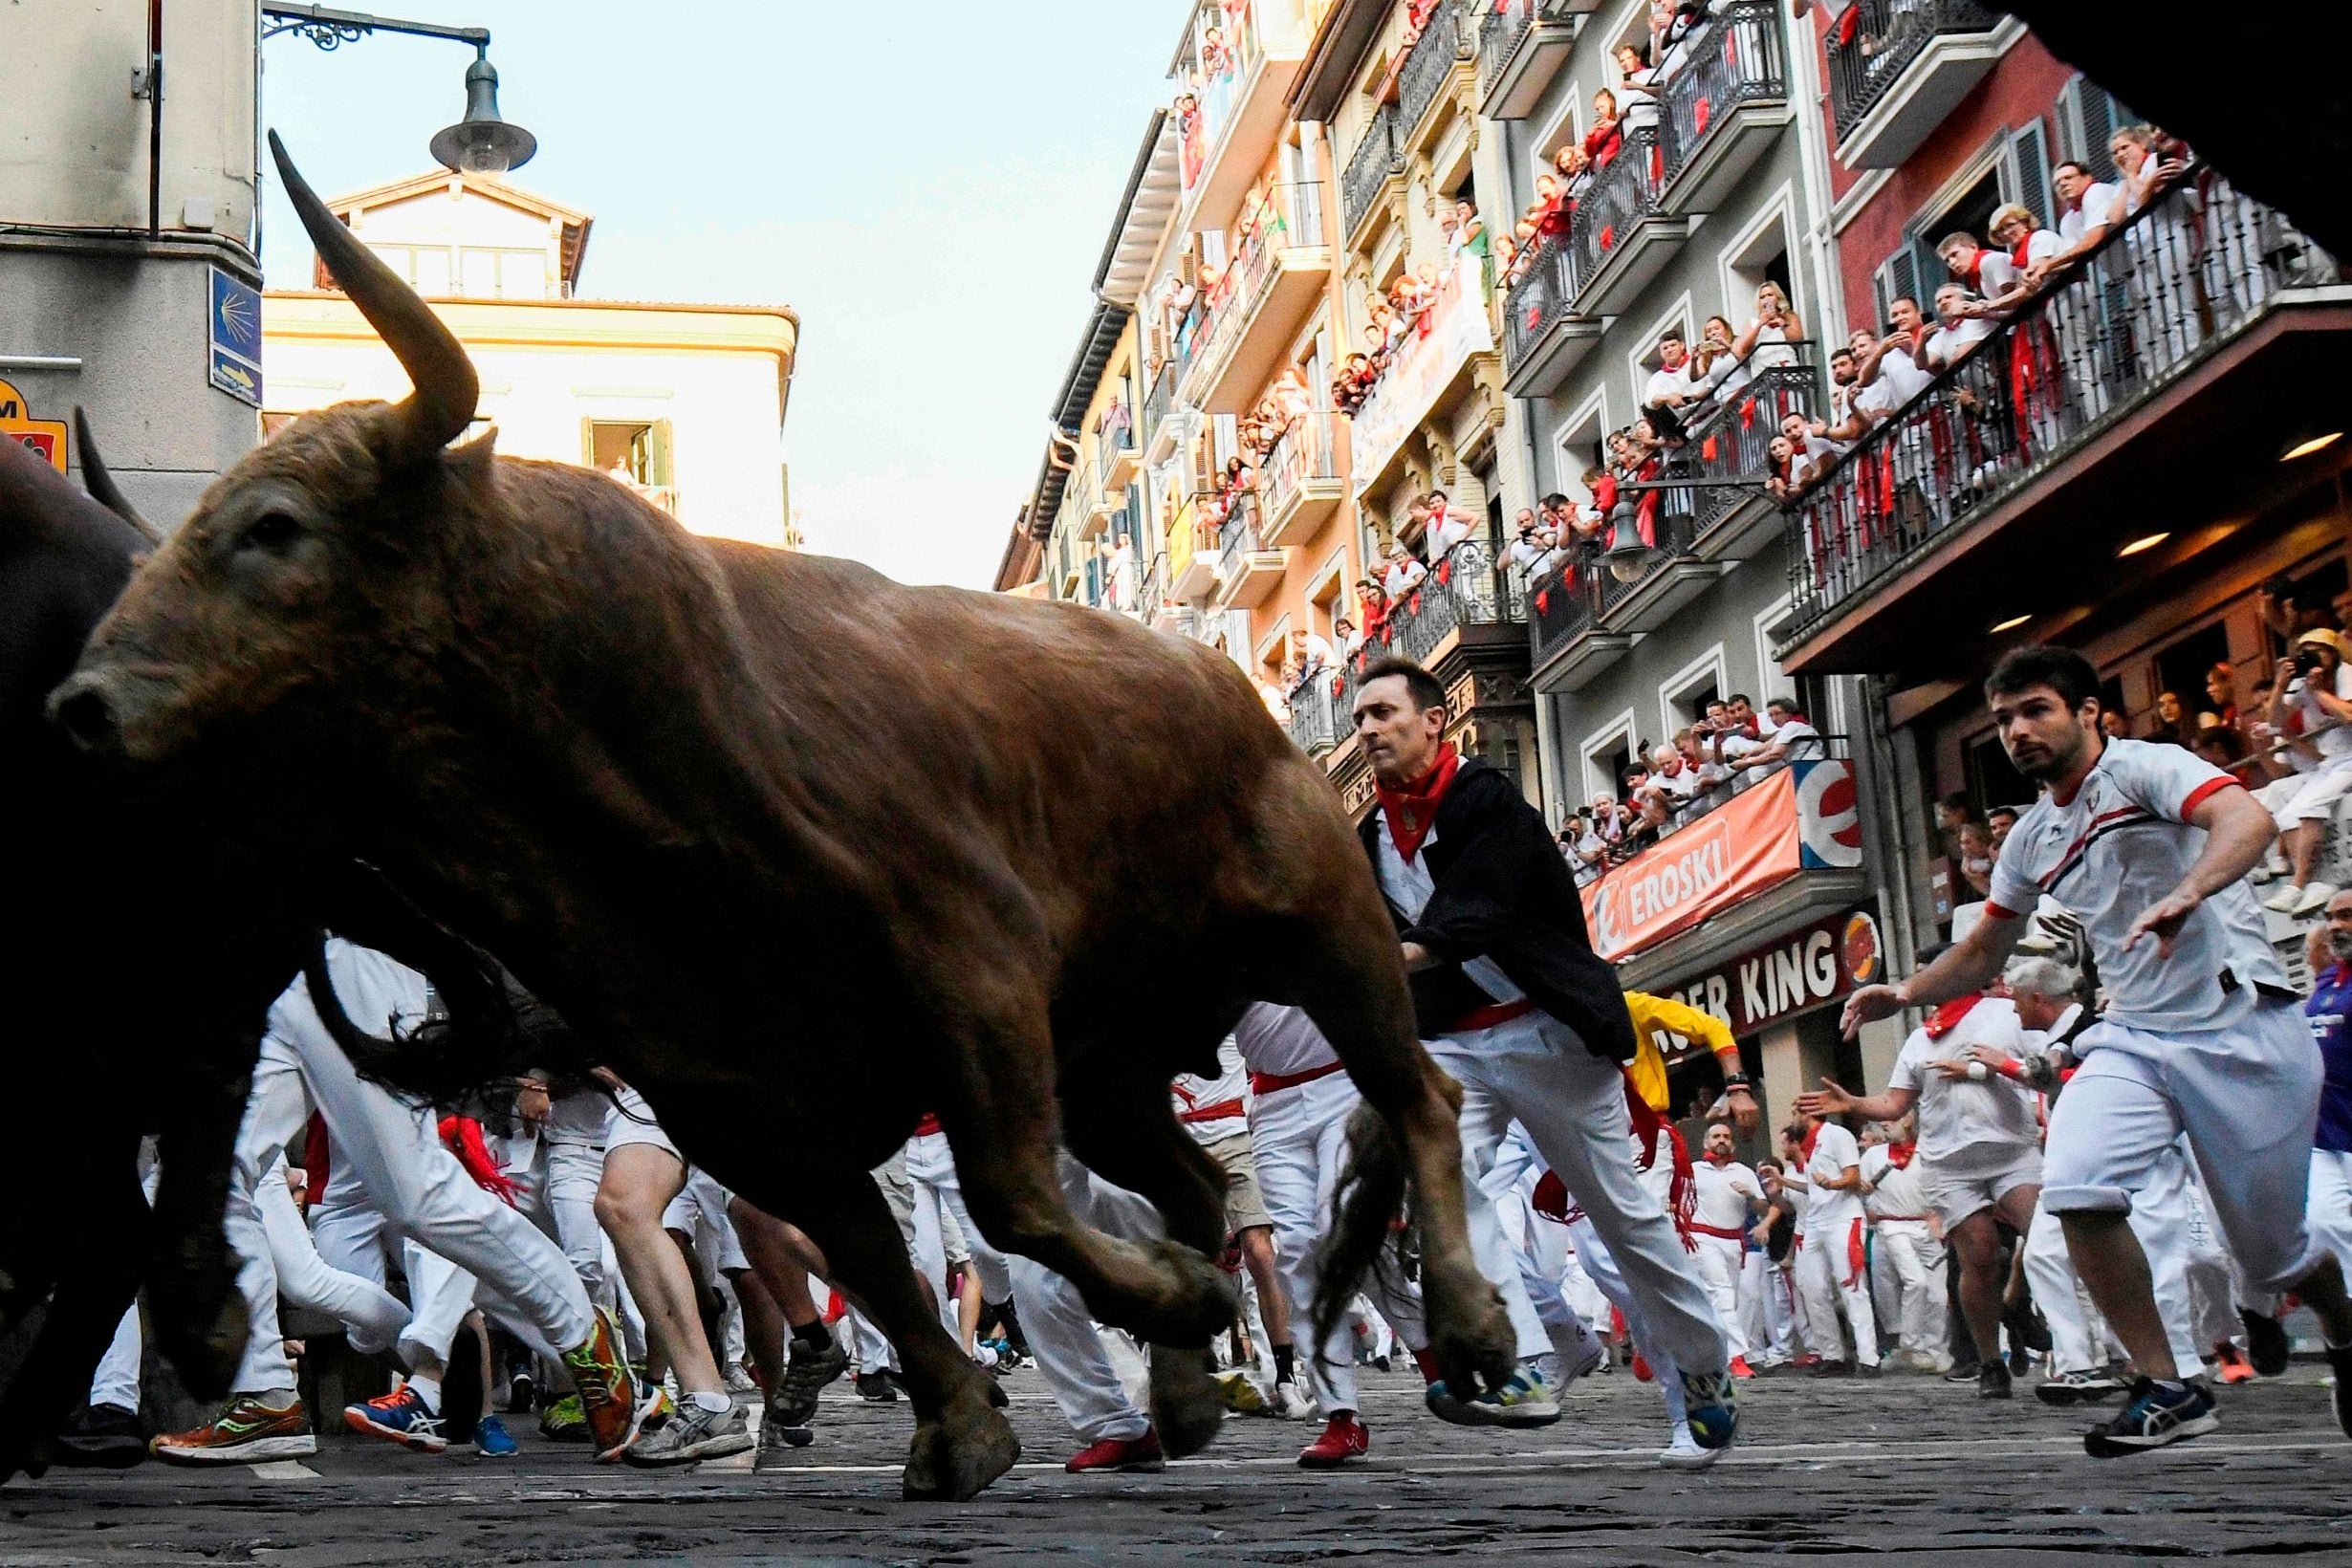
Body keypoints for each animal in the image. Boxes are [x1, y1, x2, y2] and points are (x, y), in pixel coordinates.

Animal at [64, 141, 1514, 1504]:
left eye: (274, 526)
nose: (82, 703)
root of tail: (1221, 684)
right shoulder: (740, 1098)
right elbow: (874, 1260)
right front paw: (967, 1425)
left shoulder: (971, 972)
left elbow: (1009, 1200)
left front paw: (1154, 1307)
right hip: (1113, 1061)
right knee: (1200, 1181)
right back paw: (1185, 1391)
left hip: (1327, 922)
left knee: (1417, 1094)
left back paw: (1468, 1331)